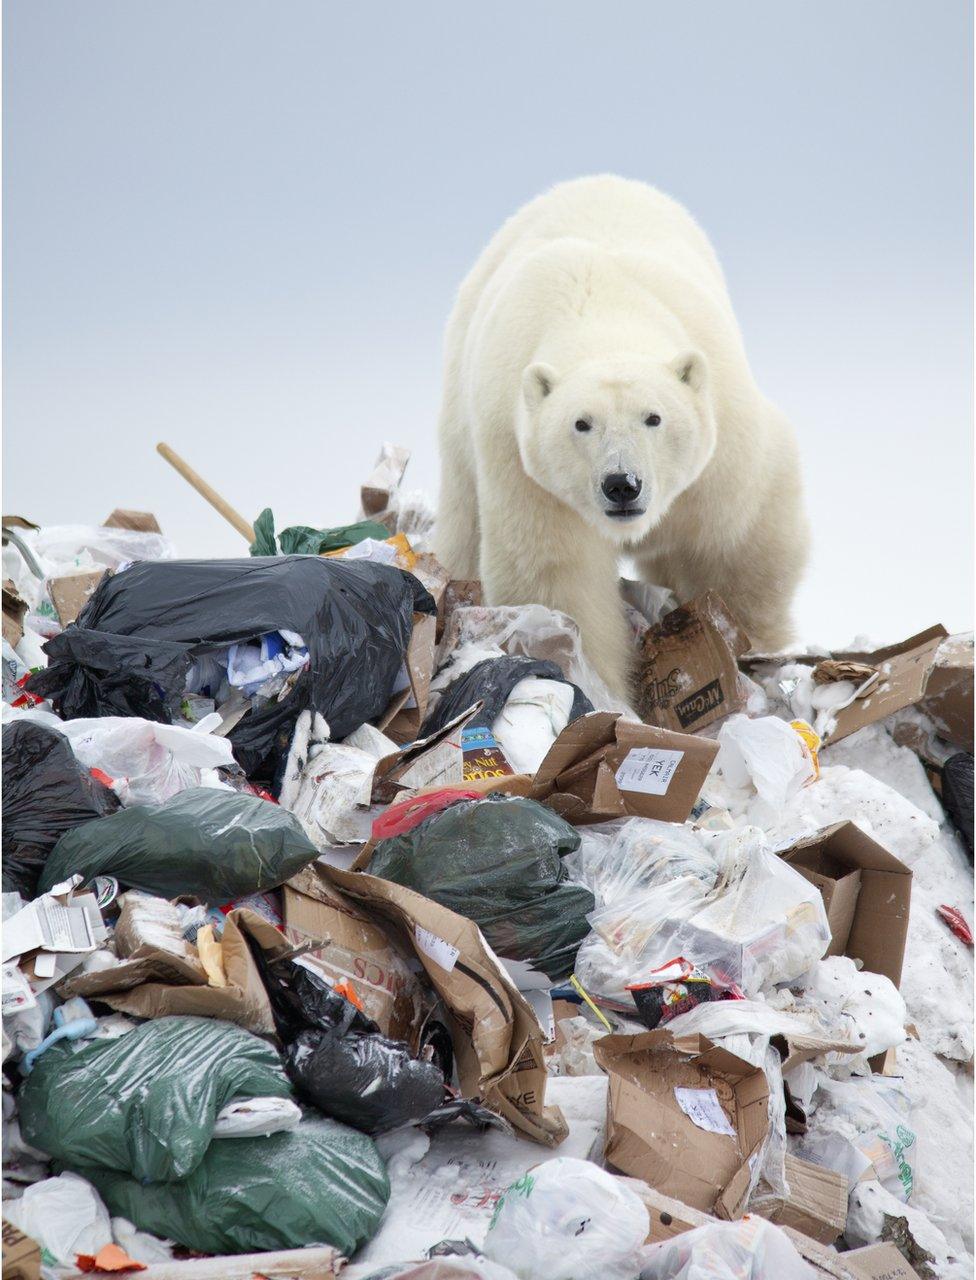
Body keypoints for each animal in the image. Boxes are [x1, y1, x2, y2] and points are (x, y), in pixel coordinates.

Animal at [432, 174, 804, 696]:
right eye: (581, 423)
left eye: (654, 418)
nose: (622, 485)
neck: (599, 310)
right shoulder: (521, 463)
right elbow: (561, 576)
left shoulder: (722, 441)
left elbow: (739, 535)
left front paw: (755, 647)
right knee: (464, 525)